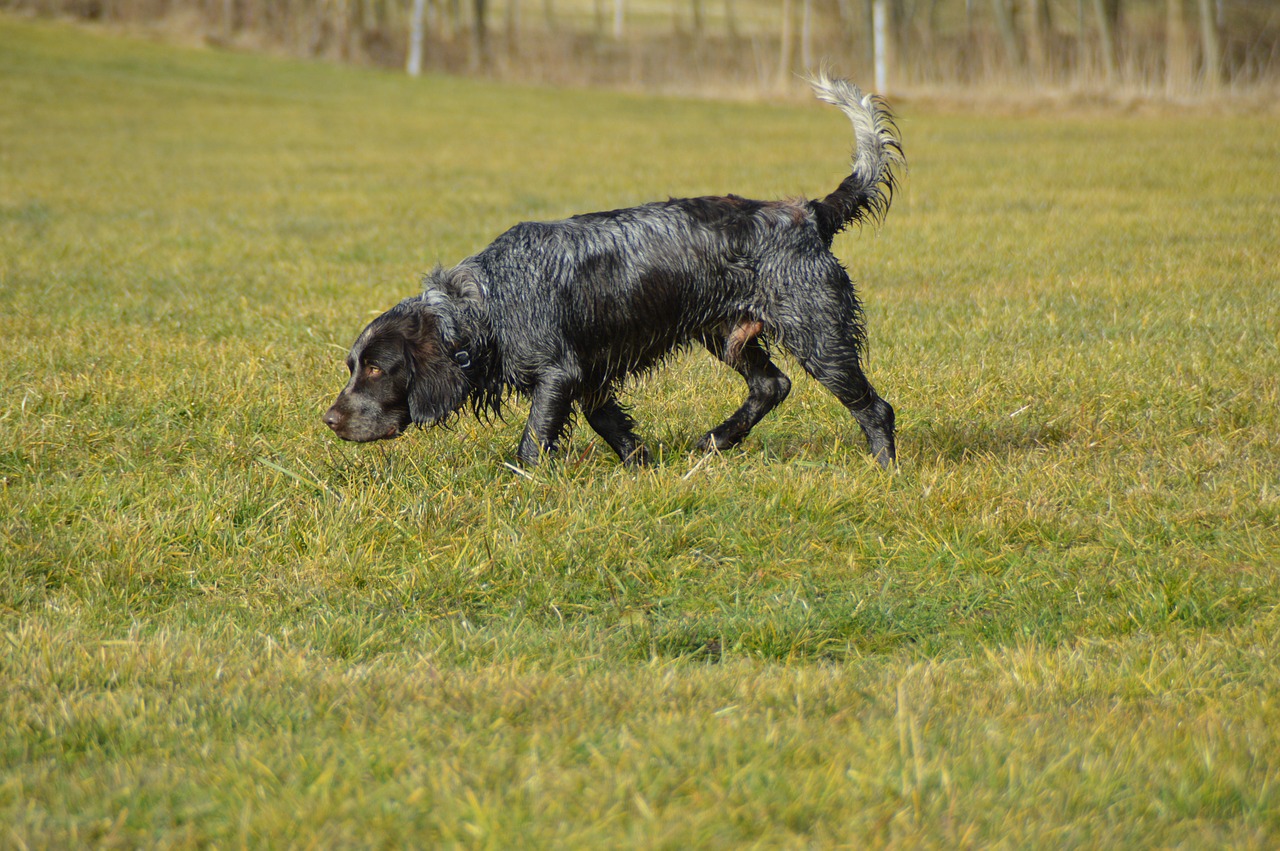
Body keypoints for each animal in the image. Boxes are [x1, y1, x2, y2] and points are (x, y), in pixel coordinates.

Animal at [325, 75, 906, 468]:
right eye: (353, 366)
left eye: (375, 369)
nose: (329, 419)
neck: (487, 303)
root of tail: (810, 211)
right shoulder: (589, 378)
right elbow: (613, 428)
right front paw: (642, 467)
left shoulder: (559, 373)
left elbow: (532, 443)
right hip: (726, 334)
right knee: (772, 385)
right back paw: (716, 441)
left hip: (819, 337)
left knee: (875, 408)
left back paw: (883, 467)